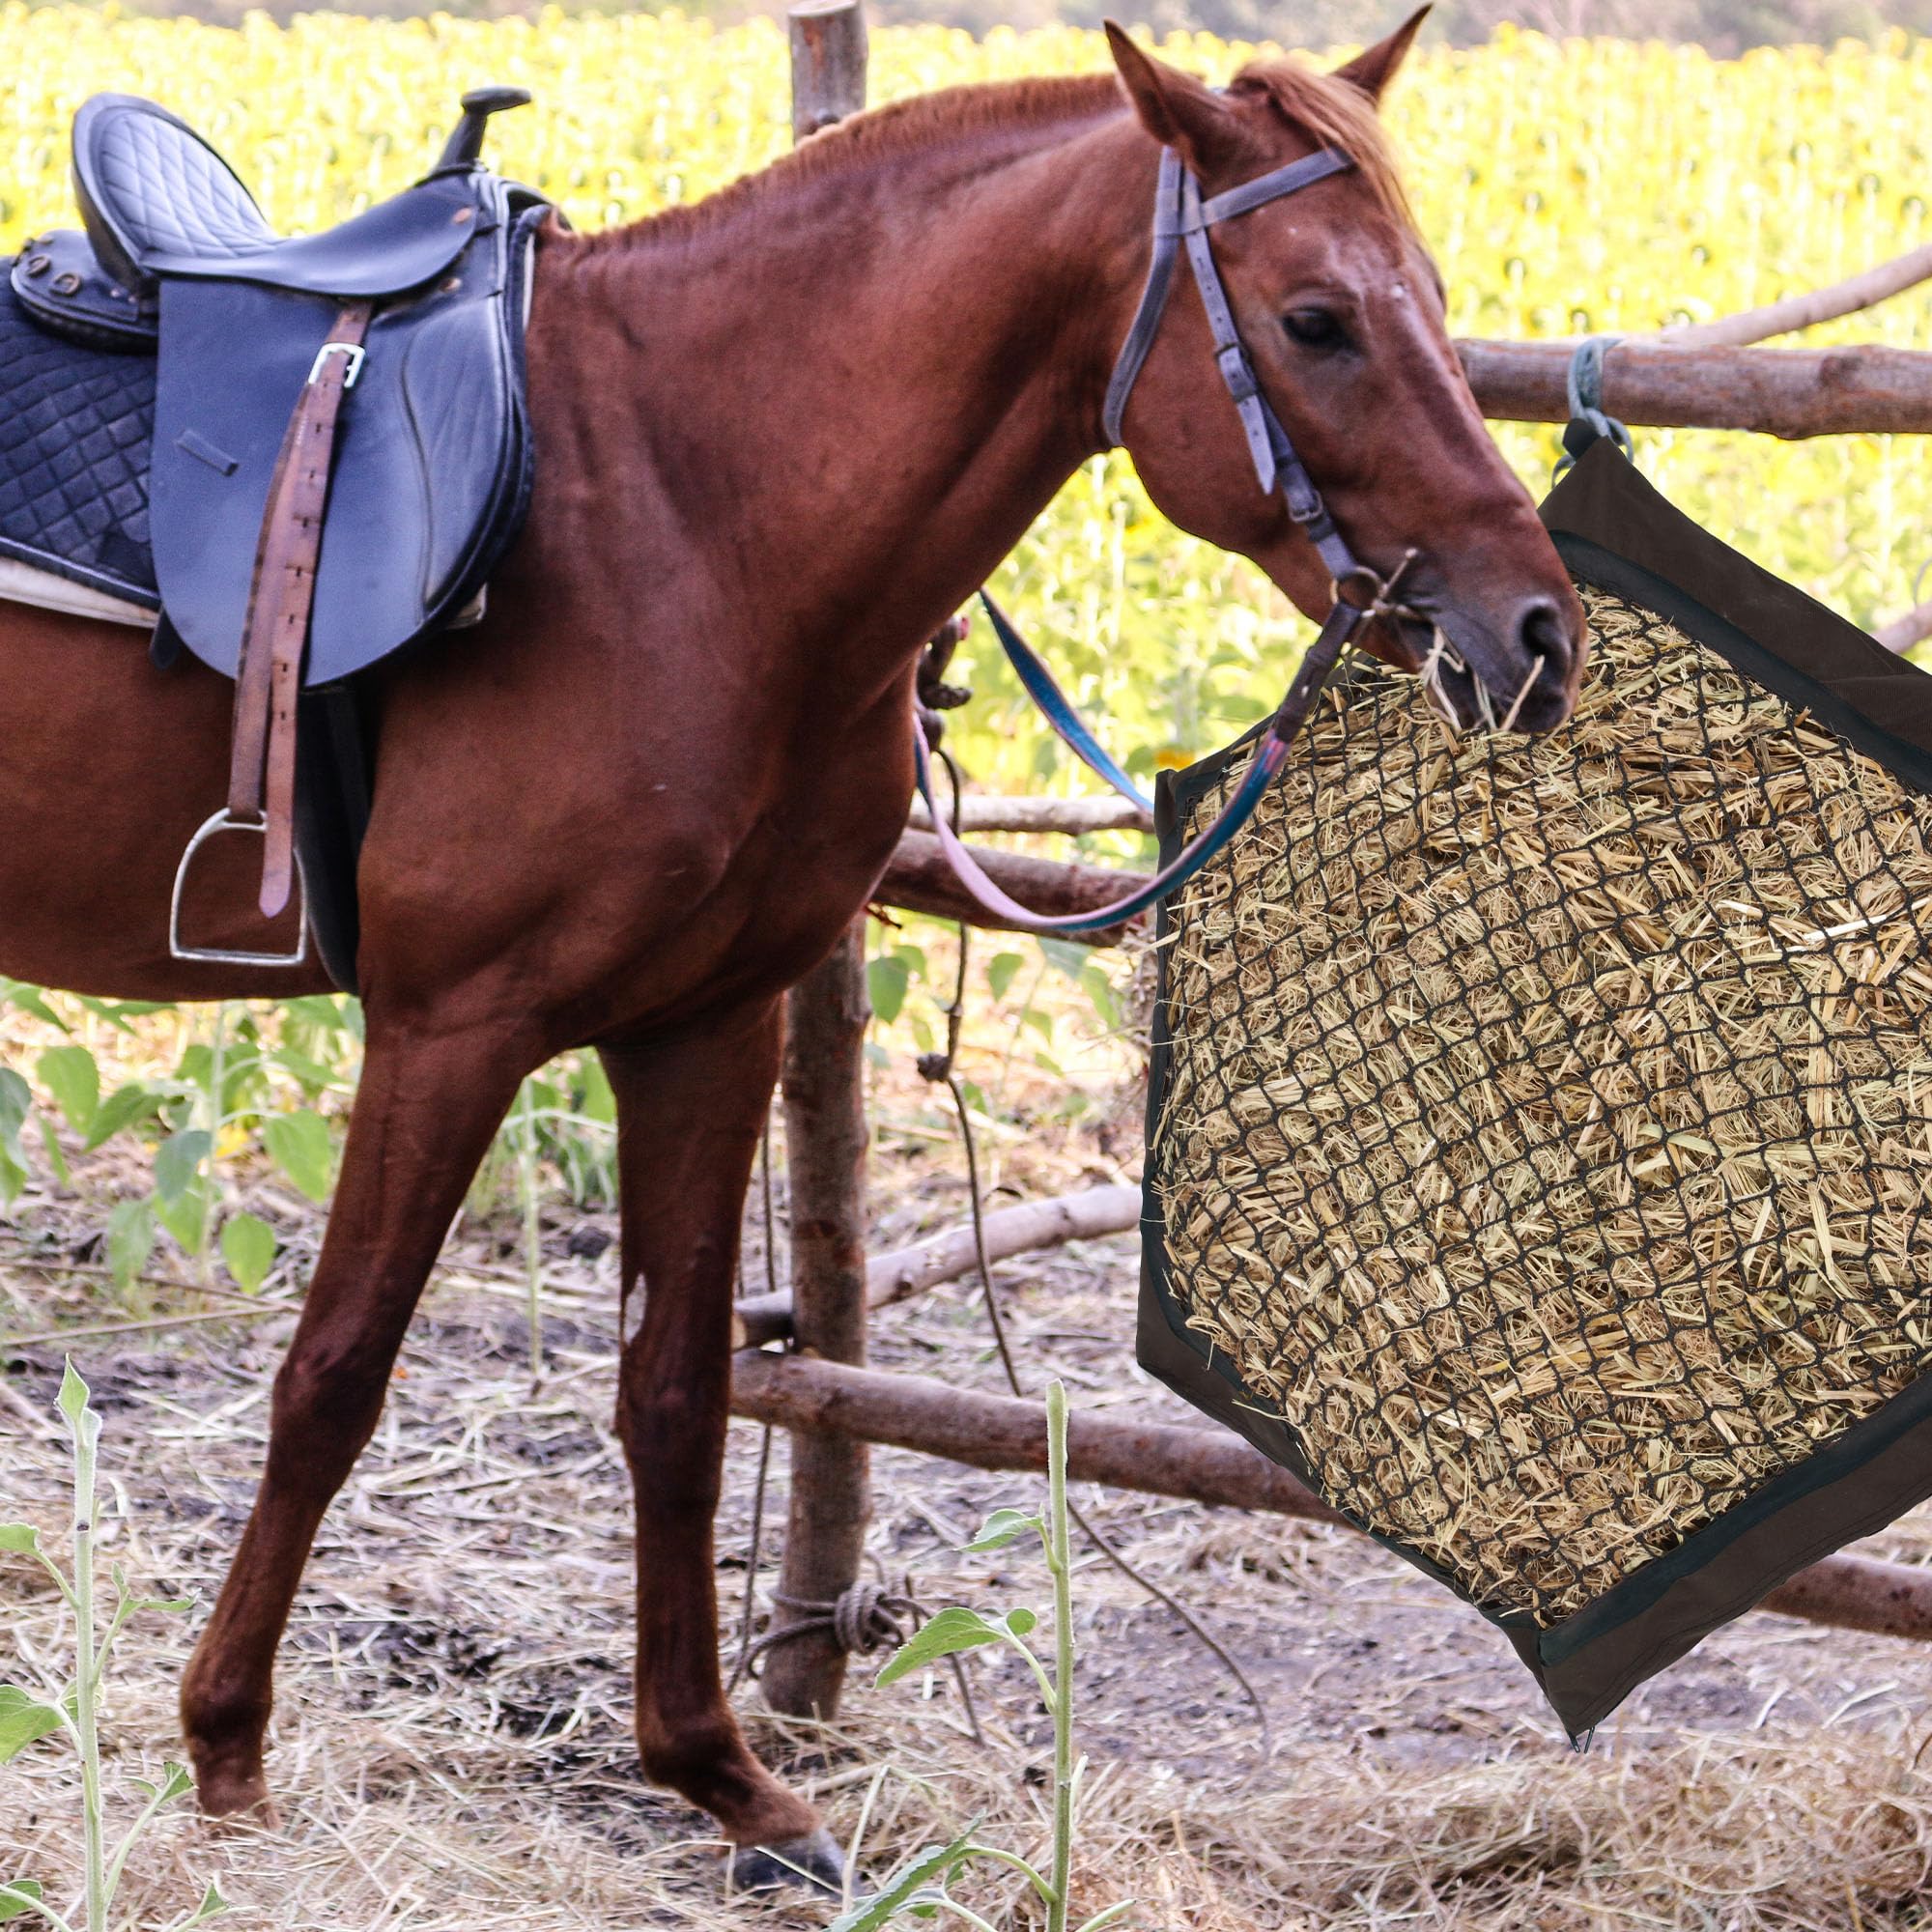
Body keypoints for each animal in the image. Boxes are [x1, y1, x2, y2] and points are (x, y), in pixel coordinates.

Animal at [0, 14, 1585, 1889]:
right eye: (1320, 319)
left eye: (1432, 293)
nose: (1536, 632)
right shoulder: (452, 1027)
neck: (685, 511)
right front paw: (228, 1750)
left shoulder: (711, 1024)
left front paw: (723, 1775)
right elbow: (333, 1377)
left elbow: (682, 1395)